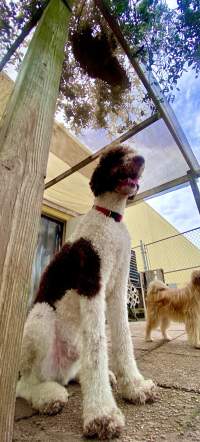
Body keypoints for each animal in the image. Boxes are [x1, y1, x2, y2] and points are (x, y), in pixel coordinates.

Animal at [17, 145, 157, 438]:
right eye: (116, 156)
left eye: (133, 152)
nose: (140, 160)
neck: (109, 217)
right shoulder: (92, 285)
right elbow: (97, 348)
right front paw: (102, 414)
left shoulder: (117, 291)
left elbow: (123, 338)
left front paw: (135, 387)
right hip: (39, 319)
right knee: (24, 384)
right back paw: (47, 396)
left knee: (74, 370)